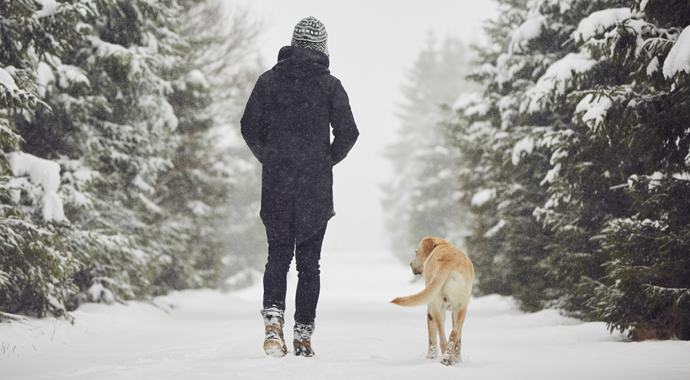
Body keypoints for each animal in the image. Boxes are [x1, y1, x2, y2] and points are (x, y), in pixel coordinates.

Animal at [392, 238, 472, 366]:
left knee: (442, 338)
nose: (410, 264)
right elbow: (457, 339)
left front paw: (430, 357)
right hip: (460, 308)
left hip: (437, 309)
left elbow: (432, 338)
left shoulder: (431, 311)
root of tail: (447, 262)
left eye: (416, 252)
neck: (441, 245)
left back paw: (445, 359)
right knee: (452, 336)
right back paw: (448, 359)